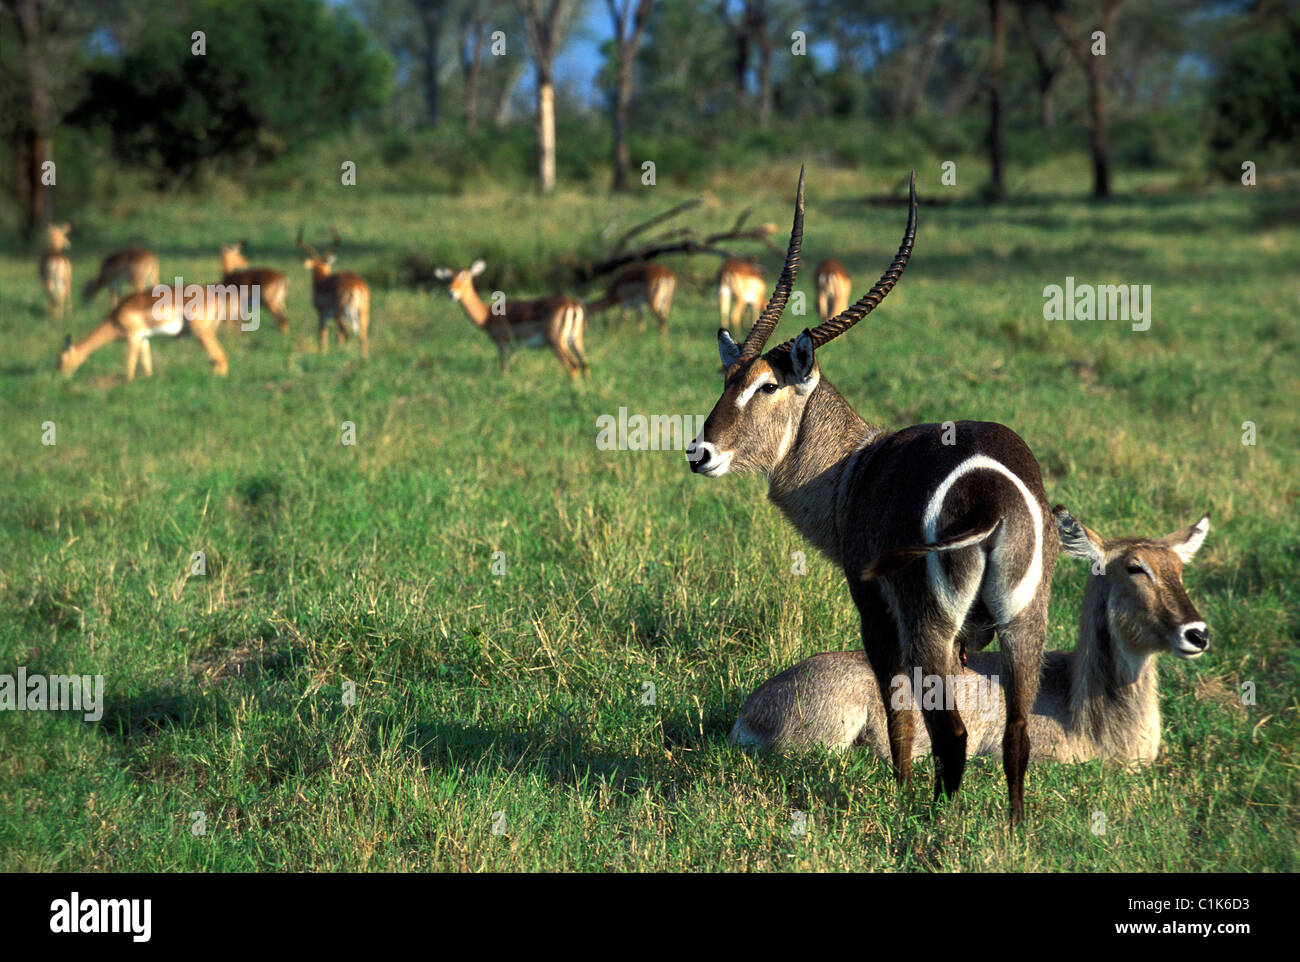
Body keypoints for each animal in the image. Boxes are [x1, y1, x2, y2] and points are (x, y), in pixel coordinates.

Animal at [56, 287, 228, 382]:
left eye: (61, 359)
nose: (60, 376)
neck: (115, 318)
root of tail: (217, 299)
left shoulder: (133, 337)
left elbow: (130, 363)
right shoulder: (144, 338)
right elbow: (146, 363)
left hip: (202, 334)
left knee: (221, 356)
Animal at [297, 228, 371, 356]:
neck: (321, 281)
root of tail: (355, 286)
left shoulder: (322, 314)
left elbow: (322, 334)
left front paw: (322, 354)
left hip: (340, 316)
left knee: (344, 335)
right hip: (362, 313)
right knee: (362, 336)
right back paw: (364, 357)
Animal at [436, 258, 590, 379]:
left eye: (464, 276)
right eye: (449, 277)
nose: (451, 291)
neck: (487, 315)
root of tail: (571, 304)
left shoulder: (502, 344)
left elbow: (503, 369)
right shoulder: (514, 348)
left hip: (556, 343)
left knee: (573, 366)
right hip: (576, 341)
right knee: (584, 365)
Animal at [686, 169, 1060, 821]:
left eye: (765, 385)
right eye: (728, 378)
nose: (700, 452)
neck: (853, 464)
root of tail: (993, 493)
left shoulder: (874, 608)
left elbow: (899, 710)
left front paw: (901, 790)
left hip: (932, 624)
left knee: (952, 731)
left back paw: (930, 819)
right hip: (1023, 621)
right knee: (1016, 734)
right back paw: (1011, 831)